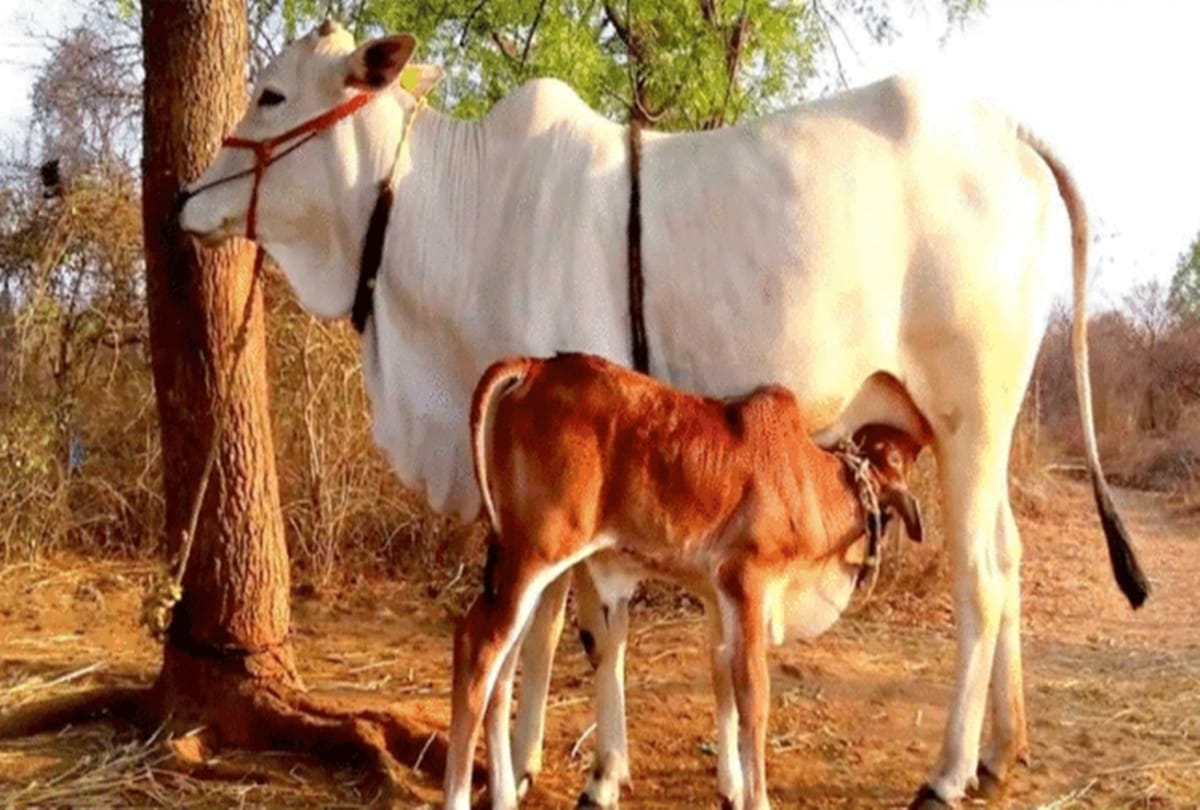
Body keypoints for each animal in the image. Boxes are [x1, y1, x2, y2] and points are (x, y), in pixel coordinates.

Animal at [177, 22, 1148, 809]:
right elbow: (555, 620)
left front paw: (585, 769)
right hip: (974, 429)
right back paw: (999, 752)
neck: (469, 210)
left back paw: (946, 774)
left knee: (980, 577)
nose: (187, 200)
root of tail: (1007, 130)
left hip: (969, 413)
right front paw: (530, 758)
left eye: (271, 93)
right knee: (1011, 559)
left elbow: (585, 620)